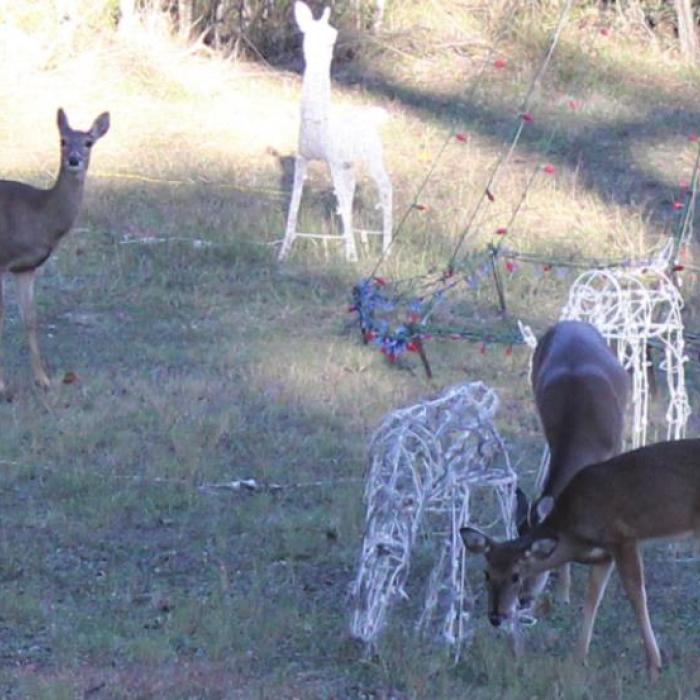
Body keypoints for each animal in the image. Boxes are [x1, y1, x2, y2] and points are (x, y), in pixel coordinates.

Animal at [0, 108, 110, 391]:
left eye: (88, 142)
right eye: (62, 140)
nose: (73, 159)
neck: (39, 213)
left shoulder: (25, 267)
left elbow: (30, 318)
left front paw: (43, 379)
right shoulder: (1, 261)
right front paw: (2, 384)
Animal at [277, 1, 393, 262]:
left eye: (333, 35)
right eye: (307, 33)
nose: (326, 47)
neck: (318, 123)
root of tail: (374, 117)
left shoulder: (333, 160)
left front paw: (352, 258)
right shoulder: (303, 157)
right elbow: (294, 204)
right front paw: (283, 252)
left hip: (372, 158)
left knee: (385, 188)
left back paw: (385, 249)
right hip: (350, 165)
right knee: (349, 196)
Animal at [462, 437, 700, 682]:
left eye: (516, 576)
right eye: (487, 573)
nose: (495, 616)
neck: (573, 531)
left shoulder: (623, 538)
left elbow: (636, 595)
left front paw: (654, 666)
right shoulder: (604, 555)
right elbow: (593, 597)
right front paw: (578, 659)